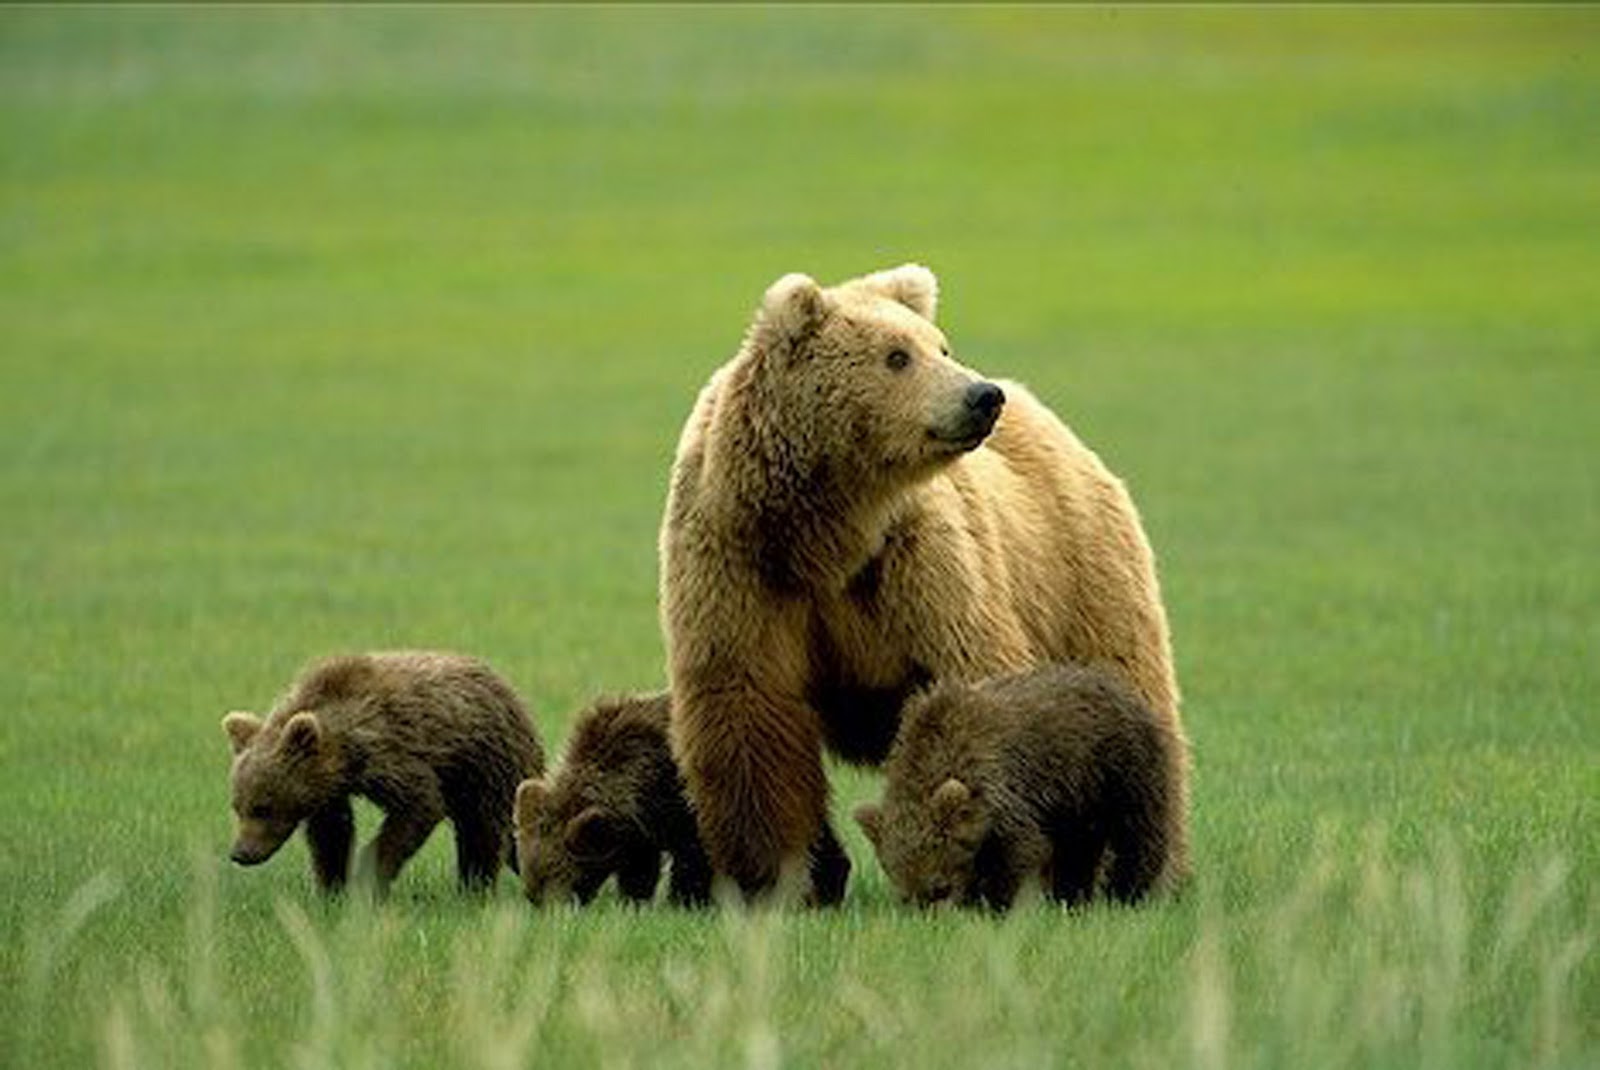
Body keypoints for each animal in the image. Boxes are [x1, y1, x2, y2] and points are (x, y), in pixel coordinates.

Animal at [652, 262, 1190, 895]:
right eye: (896, 356)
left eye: (941, 345)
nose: (981, 396)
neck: (830, 530)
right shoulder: (742, 566)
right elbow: (749, 711)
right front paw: (779, 878)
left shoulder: (918, 564)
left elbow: (973, 674)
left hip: (1079, 571)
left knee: (1129, 682)